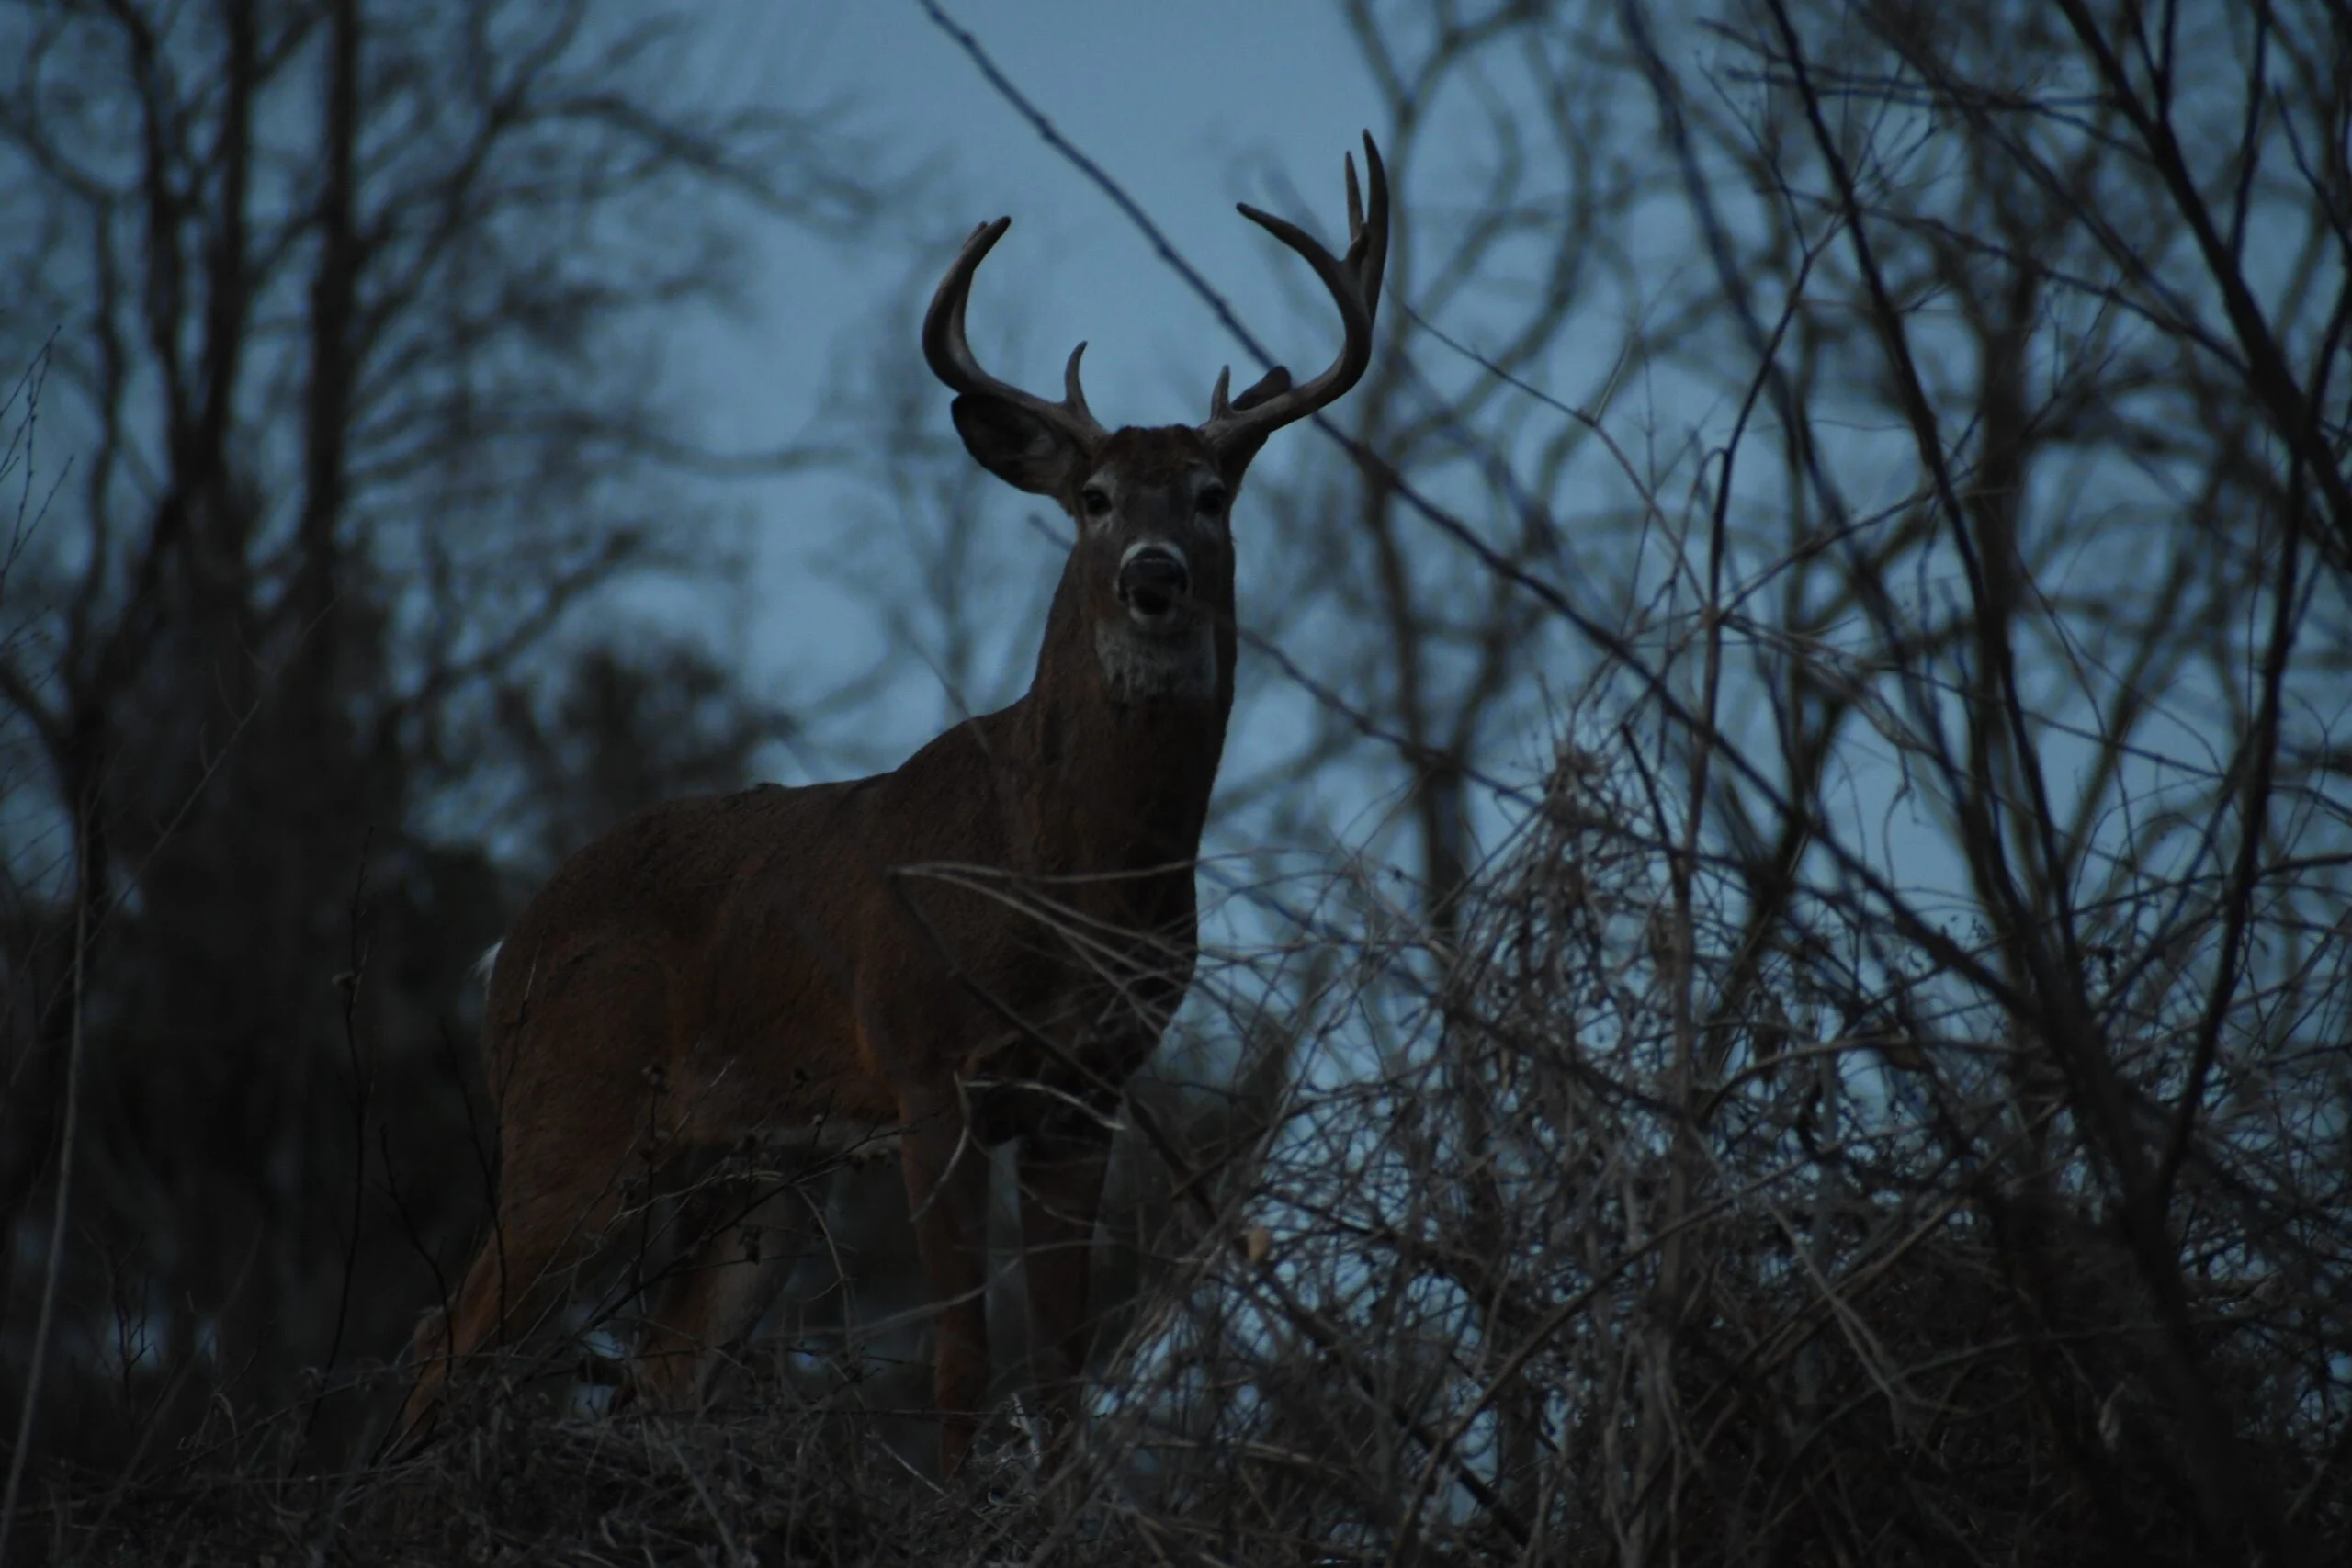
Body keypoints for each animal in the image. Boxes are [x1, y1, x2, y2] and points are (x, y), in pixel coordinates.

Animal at [397, 138, 1383, 1485]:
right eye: (1092, 496)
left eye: (1209, 493)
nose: (1154, 579)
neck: (1070, 875)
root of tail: (515, 945)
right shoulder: (927, 1063)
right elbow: (964, 1352)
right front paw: (956, 1498)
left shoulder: (1088, 1088)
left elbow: (1064, 1369)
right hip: (574, 1100)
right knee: (443, 1338)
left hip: (756, 1164)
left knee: (658, 1370)